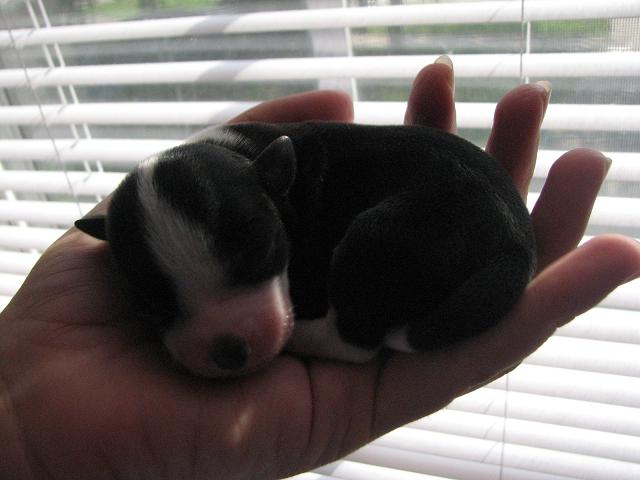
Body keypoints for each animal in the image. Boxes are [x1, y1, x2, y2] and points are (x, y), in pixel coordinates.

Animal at [74, 123, 536, 378]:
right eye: (151, 303)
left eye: (263, 253)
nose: (230, 351)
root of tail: (516, 243)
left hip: (374, 238)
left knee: (355, 341)